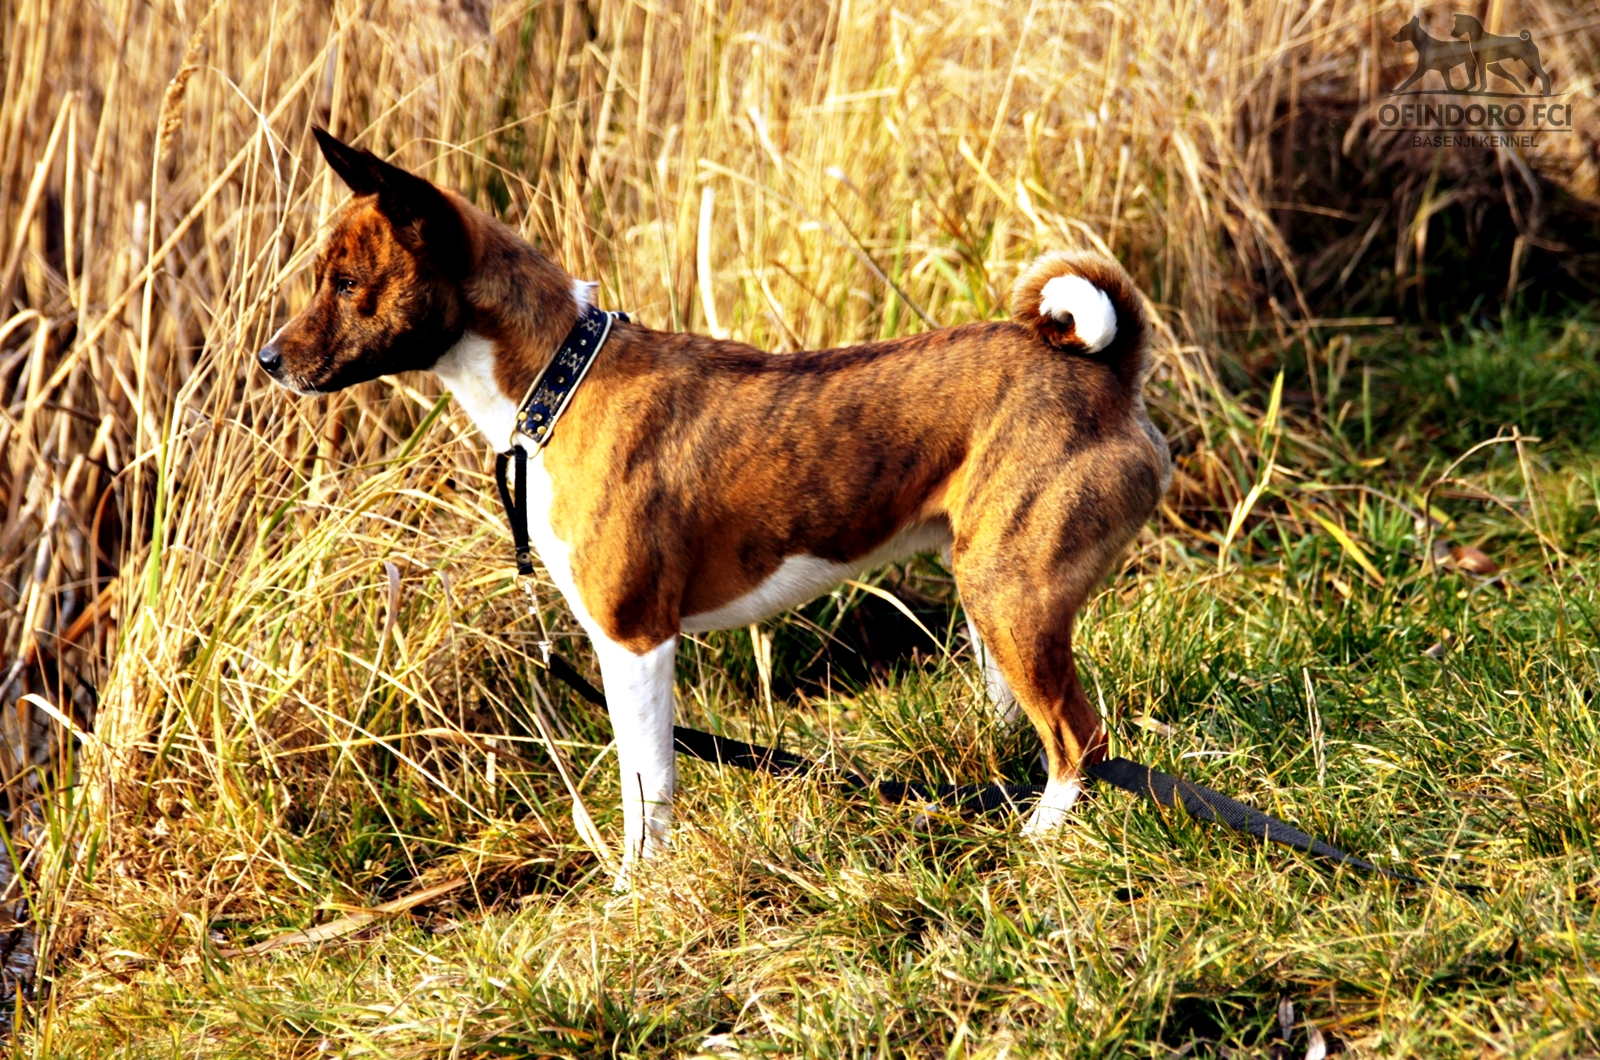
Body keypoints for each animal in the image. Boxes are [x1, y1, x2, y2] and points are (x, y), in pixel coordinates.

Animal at [258, 129, 1171, 879]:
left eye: (347, 284)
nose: (267, 359)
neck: (560, 377)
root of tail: (1108, 372)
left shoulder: (634, 640)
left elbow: (647, 795)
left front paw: (636, 894)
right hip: (988, 595)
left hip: (1011, 595)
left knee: (1080, 741)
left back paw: (1036, 842)